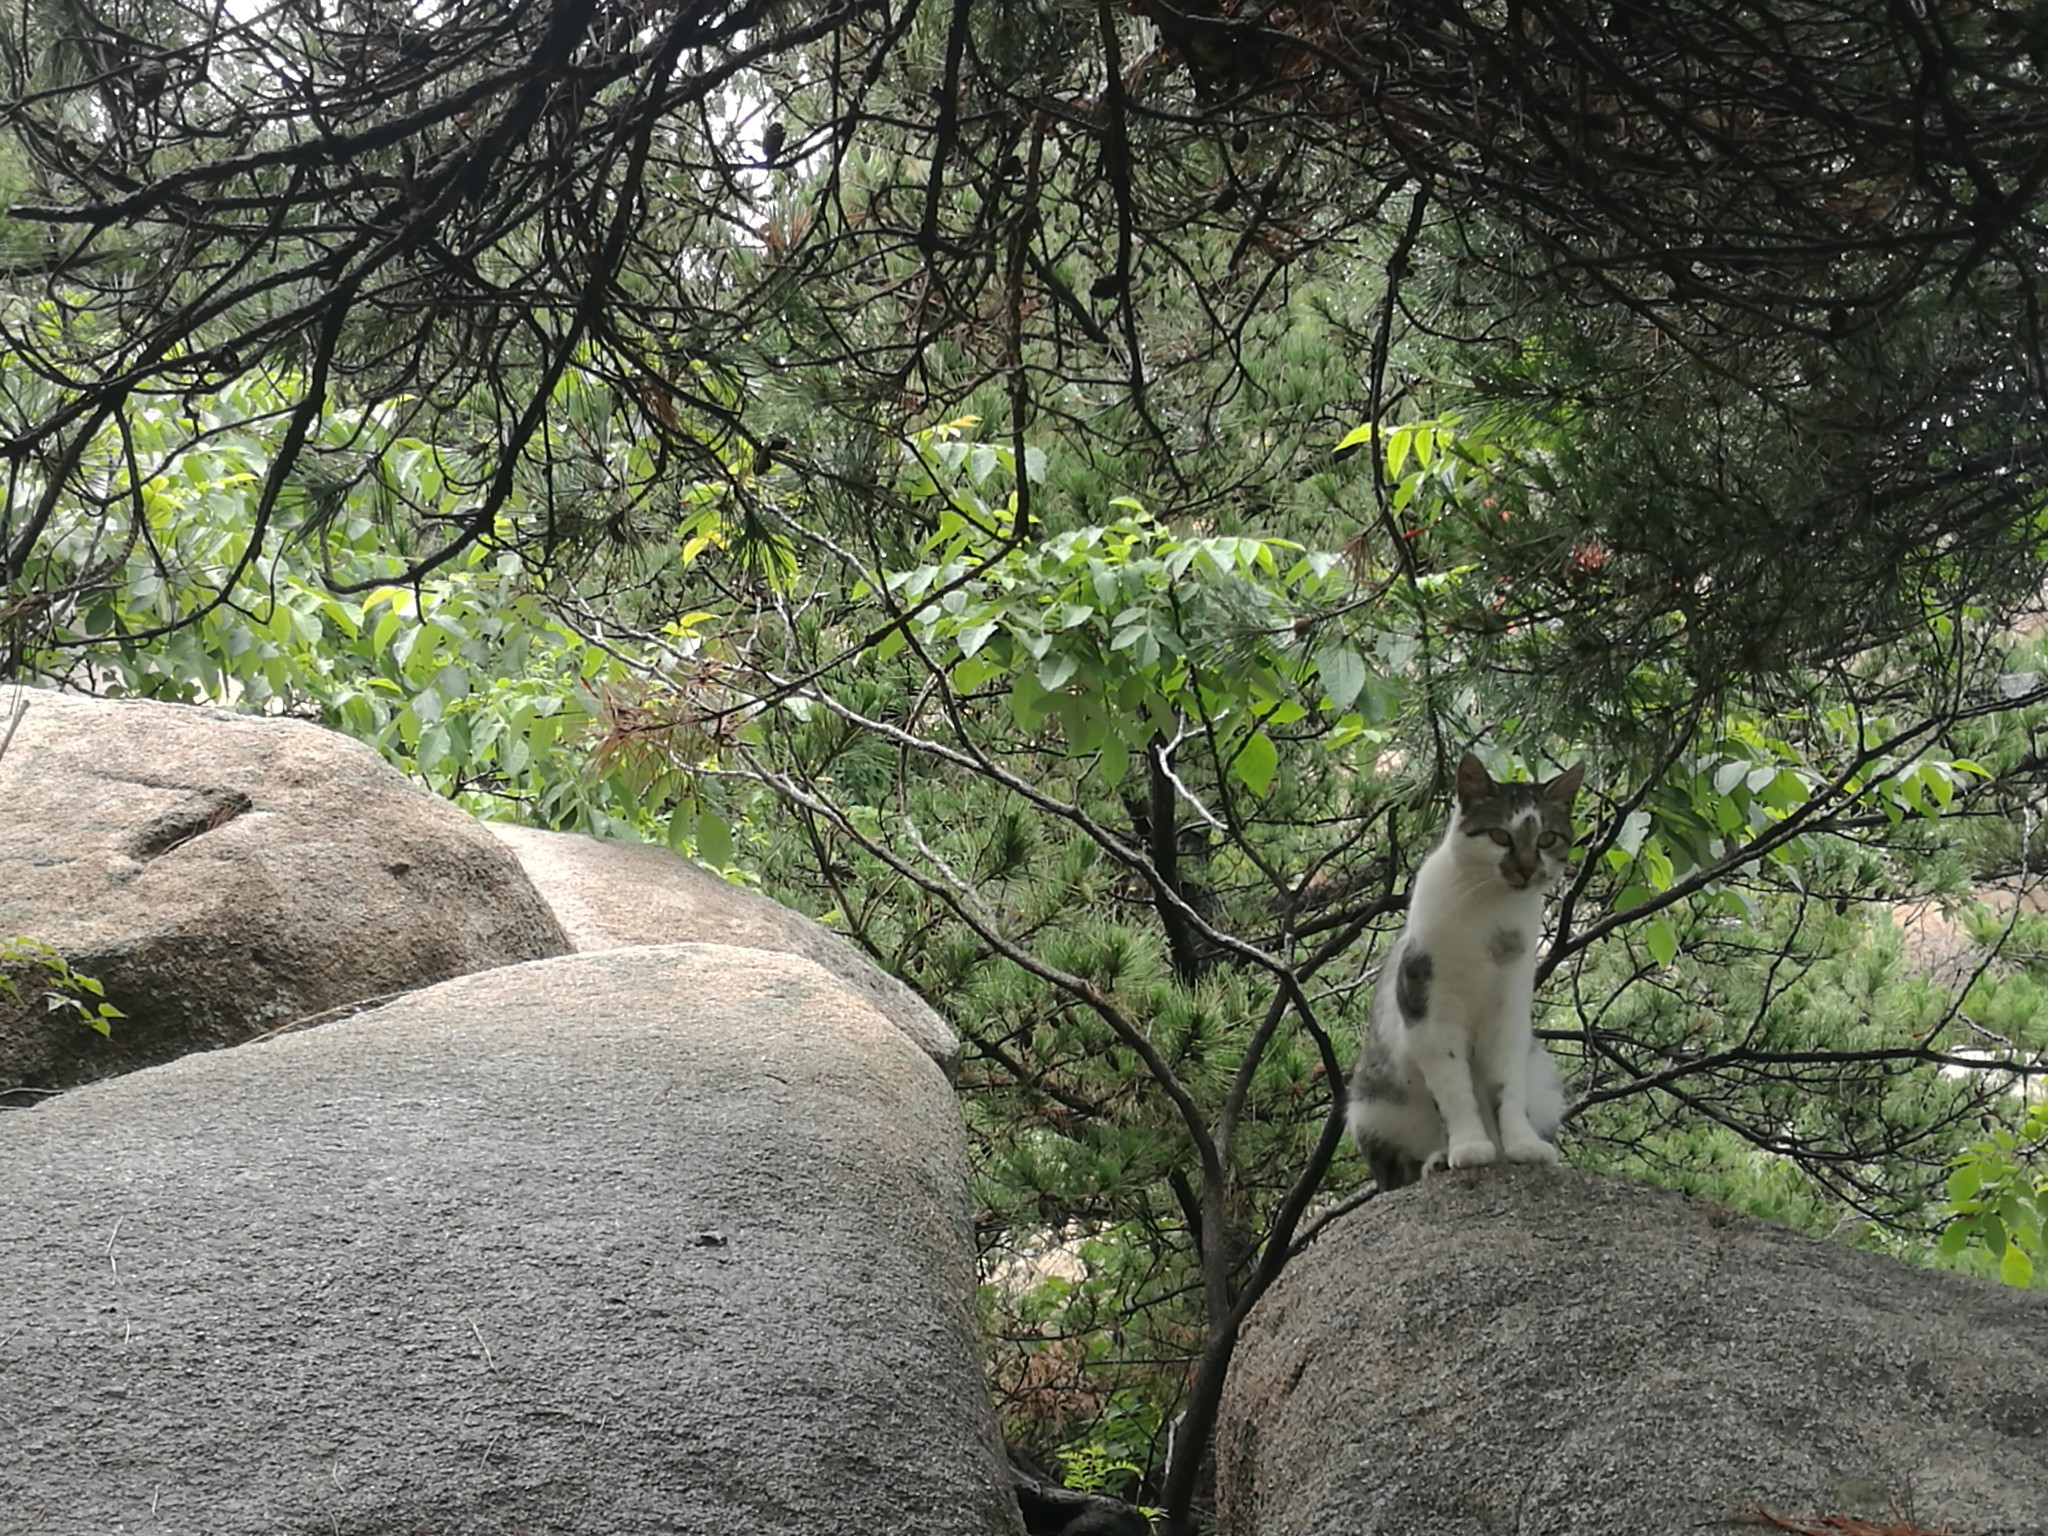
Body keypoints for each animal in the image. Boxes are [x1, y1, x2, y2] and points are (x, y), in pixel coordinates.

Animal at [1351, 753, 1589, 1196]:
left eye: (1547, 839)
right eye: (1499, 835)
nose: (1526, 869)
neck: (1490, 915)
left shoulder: (1509, 1012)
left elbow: (1506, 1088)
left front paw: (1520, 1146)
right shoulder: (1430, 1010)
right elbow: (1455, 1090)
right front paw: (1469, 1147)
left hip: (1544, 1079)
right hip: (1371, 1107)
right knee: (1400, 1170)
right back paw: (1436, 1160)